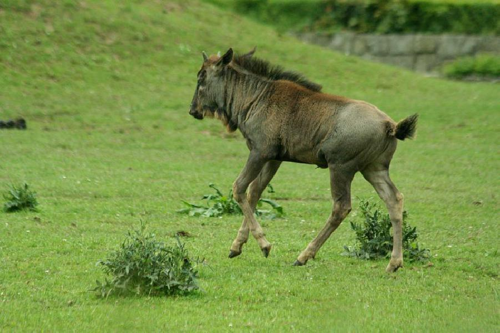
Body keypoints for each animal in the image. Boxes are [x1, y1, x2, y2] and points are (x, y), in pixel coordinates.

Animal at [188, 48, 418, 272]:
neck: (254, 98)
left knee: (341, 207)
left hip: (341, 167)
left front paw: (264, 244)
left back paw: (304, 256)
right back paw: (394, 262)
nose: (193, 110)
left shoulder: (260, 152)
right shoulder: (274, 159)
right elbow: (254, 193)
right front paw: (237, 246)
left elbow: (239, 188)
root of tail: (390, 126)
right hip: (374, 169)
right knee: (394, 199)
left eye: (202, 77)